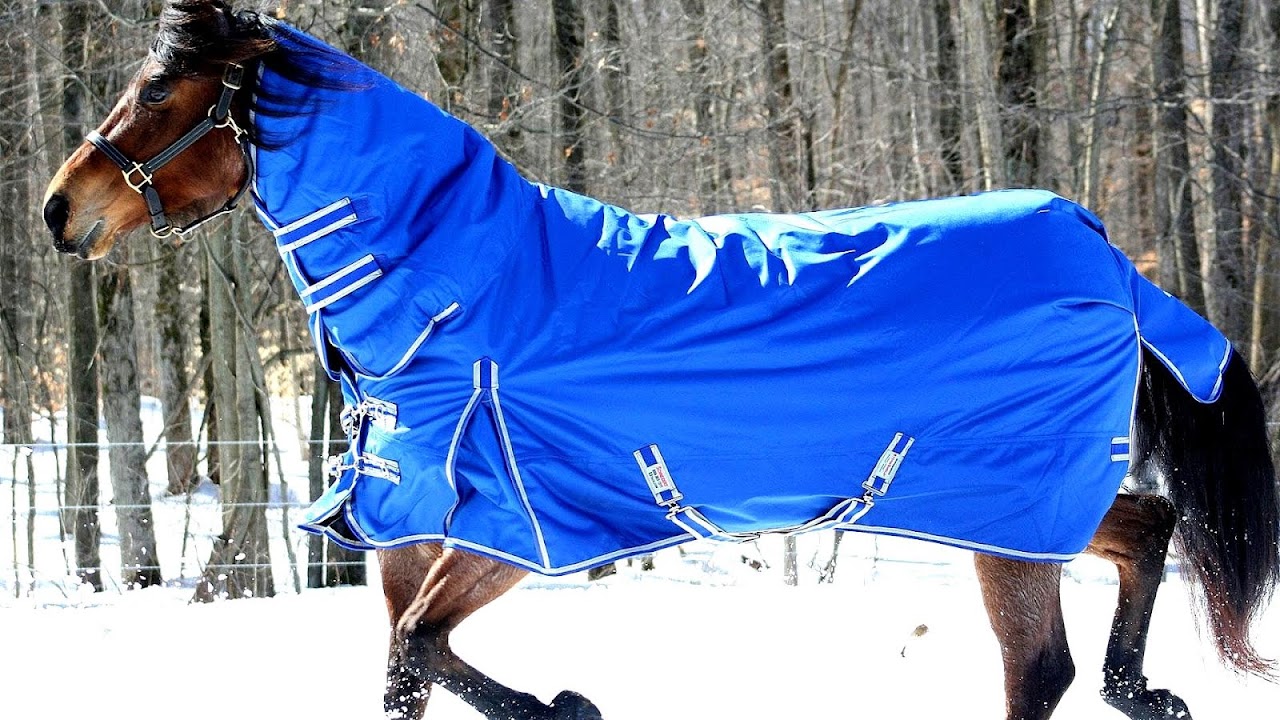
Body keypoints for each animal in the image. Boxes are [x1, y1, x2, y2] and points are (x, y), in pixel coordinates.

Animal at [42, 2, 1280, 719]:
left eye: (159, 91)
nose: (60, 210)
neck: (472, 295)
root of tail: (1103, 257)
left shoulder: (519, 528)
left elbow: (422, 647)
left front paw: (563, 706)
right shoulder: (413, 532)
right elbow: (403, 666)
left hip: (1001, 508)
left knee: (1038, 670)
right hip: (1018, 500)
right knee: (1144, 533)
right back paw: (1144, 691)